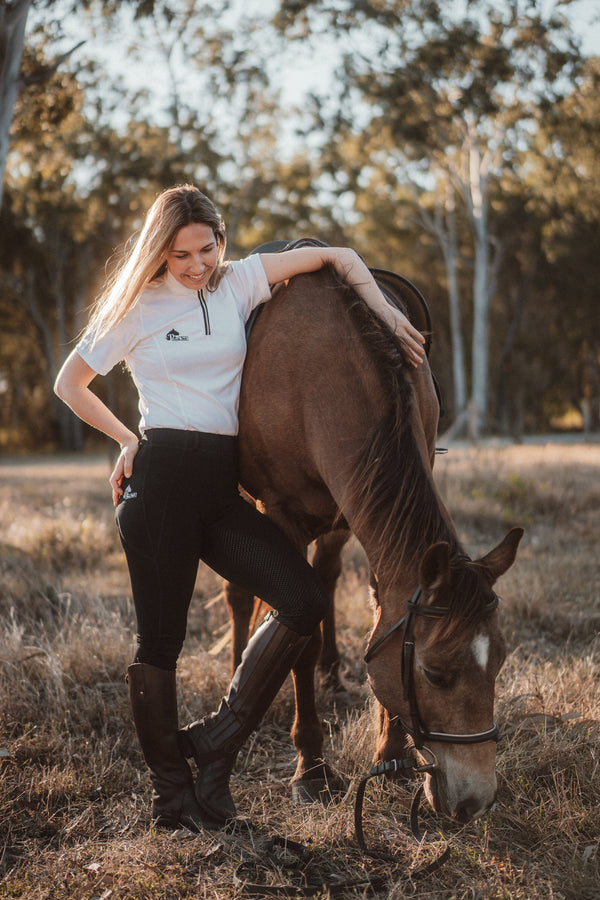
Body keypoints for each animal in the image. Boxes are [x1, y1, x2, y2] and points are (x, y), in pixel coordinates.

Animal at [225, 260, 522, 823]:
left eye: (498, 661)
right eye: (435, 674)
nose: (476, 802)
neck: (318, 374)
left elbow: (379, 612)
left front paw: (390, 753)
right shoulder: (282, 515)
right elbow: (296, 637)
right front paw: (312, 768)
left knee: (326, 578)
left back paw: (330, 672)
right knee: (240, 594)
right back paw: (238, 669)